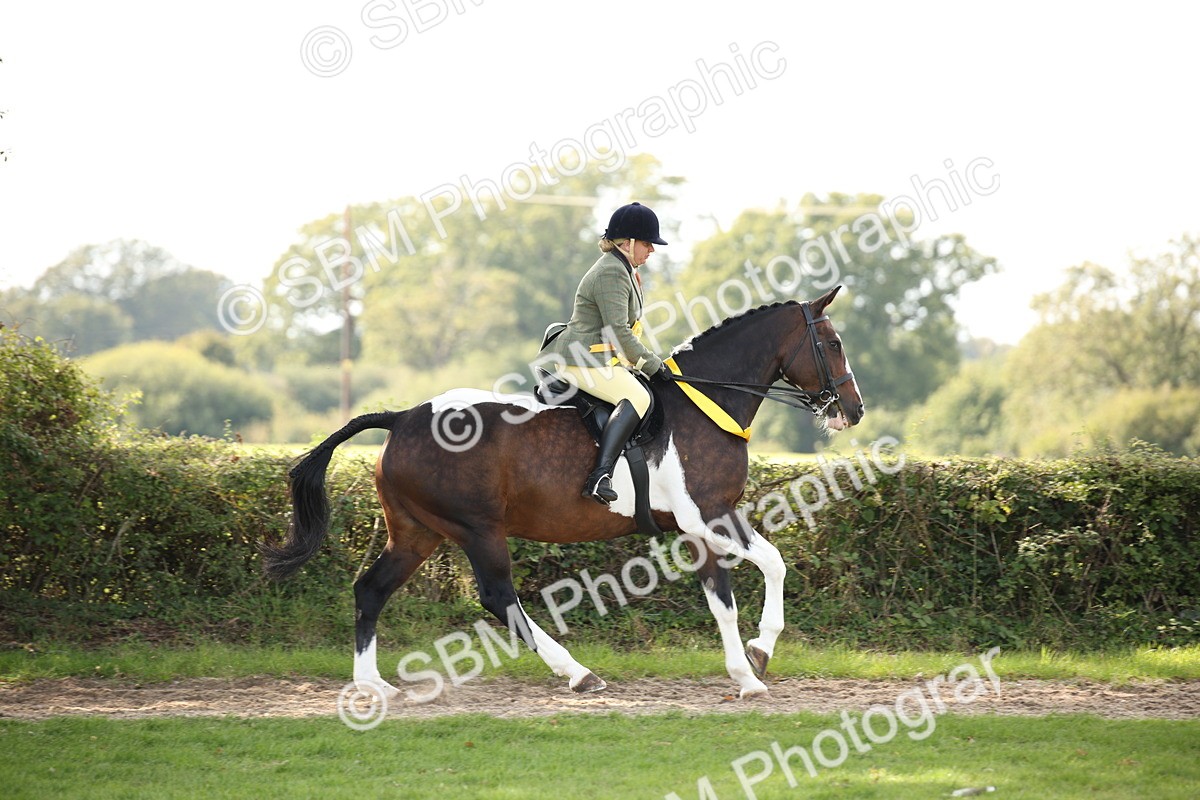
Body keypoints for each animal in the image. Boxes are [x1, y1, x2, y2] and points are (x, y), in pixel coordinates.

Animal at [261, 285, 864, 700]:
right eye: (833, 343)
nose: (853, 411)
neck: (706, 401)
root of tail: (402, 417)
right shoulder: (710, 515)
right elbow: (765, 571)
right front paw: (758, 658)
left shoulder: (698, 526)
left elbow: (733, 593)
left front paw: (749, 668)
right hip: (478, 530)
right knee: (498, 598)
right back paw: (577, 673)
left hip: (417, 533)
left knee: (370, 591)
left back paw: (373, 686)